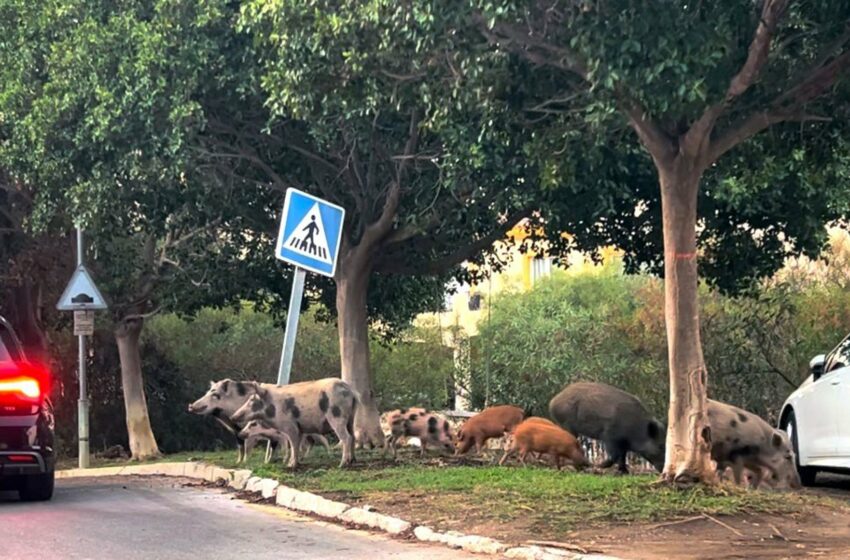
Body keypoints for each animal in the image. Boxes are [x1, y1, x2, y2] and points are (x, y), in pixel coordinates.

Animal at [229, 376, 358, 468]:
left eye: (252, 400)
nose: (232, 417)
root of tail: (350, 390)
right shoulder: (299, 428)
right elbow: (296, 445)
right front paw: (294, 463)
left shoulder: (290, 427)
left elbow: (293, 444)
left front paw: (290, 465)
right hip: (351, 418)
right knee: (352, 436)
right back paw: (352, 461)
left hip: (337, 416)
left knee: (346, 438)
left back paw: (342, 464)